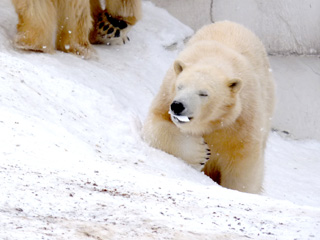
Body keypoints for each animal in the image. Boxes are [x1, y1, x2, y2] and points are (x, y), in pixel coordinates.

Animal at [142, 20, 276, 193]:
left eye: (203, 94)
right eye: (180, 86)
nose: (178, 106)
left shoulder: (242, 119)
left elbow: (243, 164)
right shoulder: (166, 95)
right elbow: (155, 126)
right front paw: (201, 152)